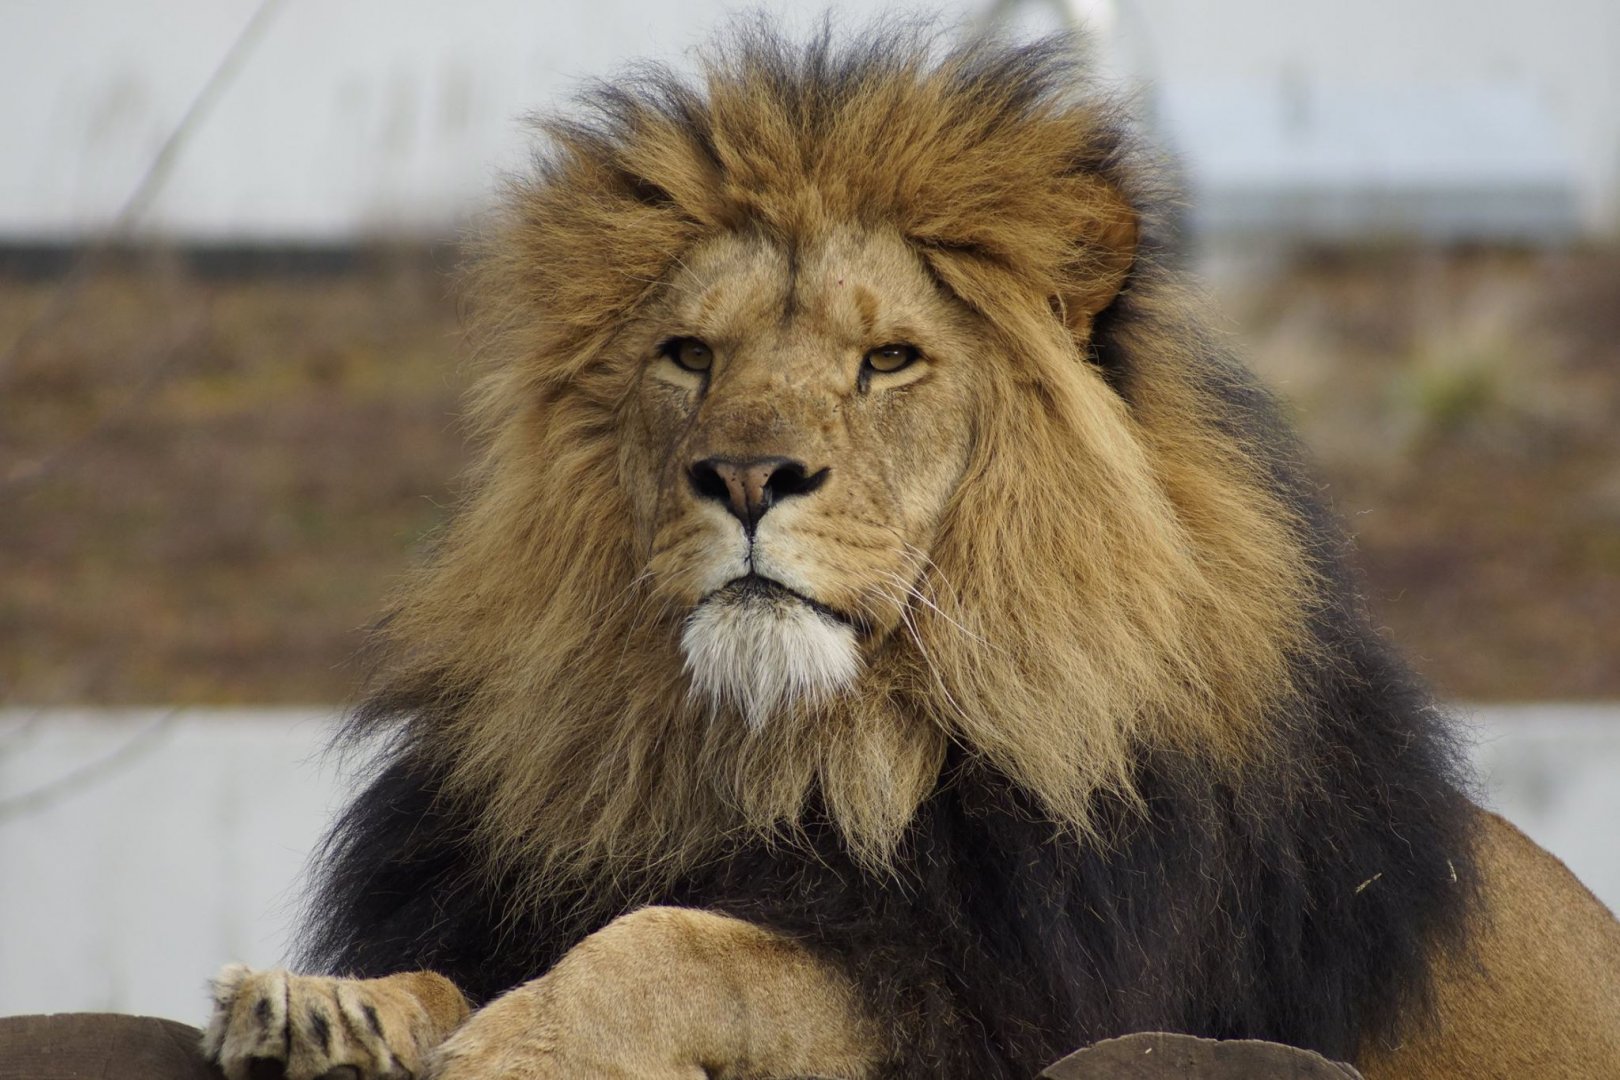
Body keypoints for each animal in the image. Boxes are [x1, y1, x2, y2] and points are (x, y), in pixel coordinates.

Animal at [201, 25, 1620, 1080]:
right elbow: (473, 964)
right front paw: (325, 1011)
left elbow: (685, 944)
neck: (793, 754)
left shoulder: (1008, 1007)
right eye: (688, 355)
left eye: (888, 359)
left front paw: (523, 1044)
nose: (746, 476)